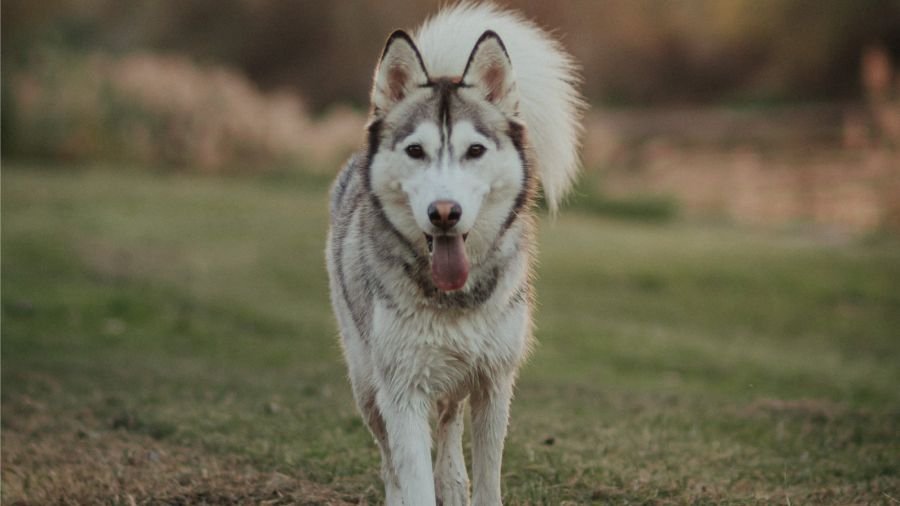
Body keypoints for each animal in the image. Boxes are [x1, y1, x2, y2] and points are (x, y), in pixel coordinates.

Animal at [324, 2, 584, 502]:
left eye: (475, 150)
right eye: (416, 150)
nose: (444, 212)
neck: (453, 298)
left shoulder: (494, 385)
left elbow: (487, 478)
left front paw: (466, 485)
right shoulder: (401, 391)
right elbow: (412, 476)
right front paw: (418, 488)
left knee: (447, 425)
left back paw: (452, 479)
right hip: (367, 382)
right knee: (390, 460)